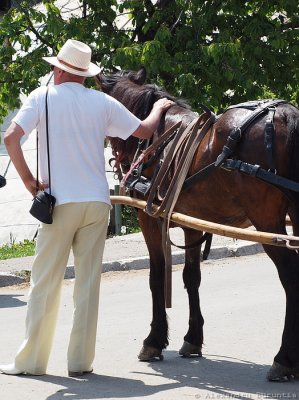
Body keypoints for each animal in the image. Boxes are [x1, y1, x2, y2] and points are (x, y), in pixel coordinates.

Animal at [97, 68, 299, 382]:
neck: (158, 140)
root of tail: (285, 114)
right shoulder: (191, 222)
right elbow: (191, 277)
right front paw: (193, 338)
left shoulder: (149, 219)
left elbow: (157, 277)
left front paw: (153, 340)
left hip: (268, 222)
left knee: (290, 277)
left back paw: (284, 359)